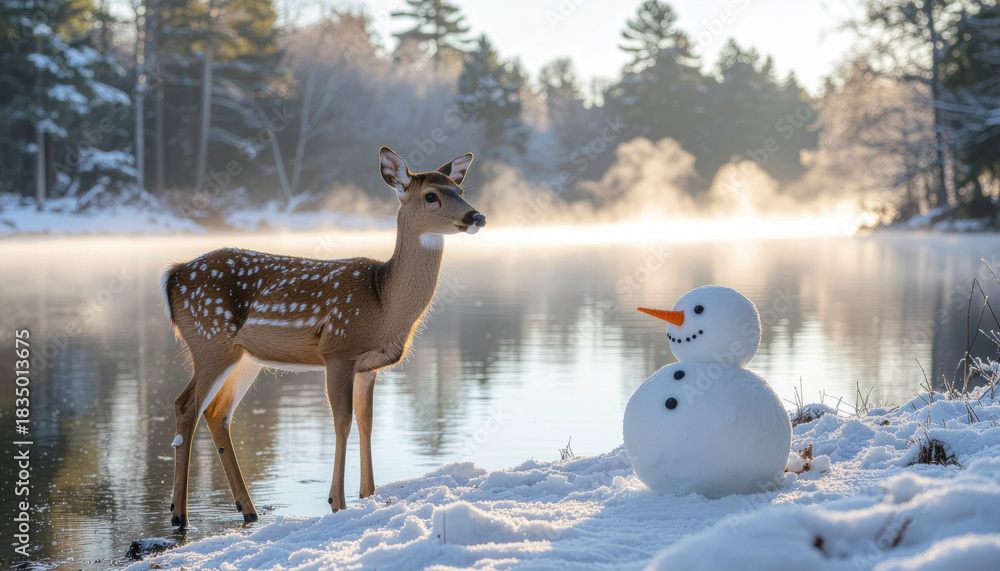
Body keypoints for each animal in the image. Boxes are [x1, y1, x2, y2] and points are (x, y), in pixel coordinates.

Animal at [160, 147, 485, 529]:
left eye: (459, 190)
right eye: (431, 195)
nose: (477, 215)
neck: (382, 302)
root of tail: (173, 276)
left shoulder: (369, 366)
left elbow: (366, 422)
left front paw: (369, 495)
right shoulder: (339, 350)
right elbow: (342, 422)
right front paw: (337, 502)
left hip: (244, 356)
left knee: (217, 412)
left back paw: (248, 509)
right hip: (209, 338)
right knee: (186, 406)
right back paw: (179, 516)